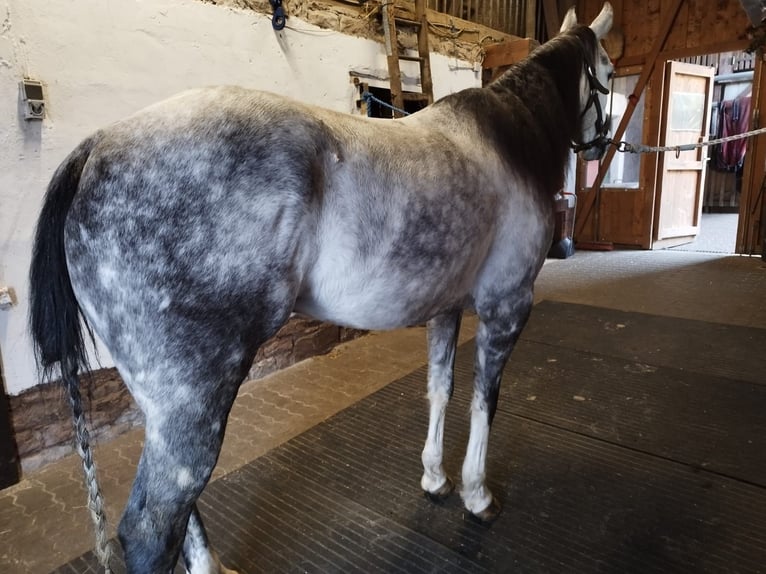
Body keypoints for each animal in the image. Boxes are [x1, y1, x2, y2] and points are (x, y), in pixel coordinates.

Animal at [29, 4, 613, 572]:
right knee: (154, 525)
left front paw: (435, 479)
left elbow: (441, 389)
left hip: (162, 401)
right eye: (608, 74)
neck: (508, 140)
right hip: (194, 394)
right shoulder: (506, 308)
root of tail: (96, 147)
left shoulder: (446, 309)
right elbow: (484, 400)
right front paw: (477, 495)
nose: (601, 145)